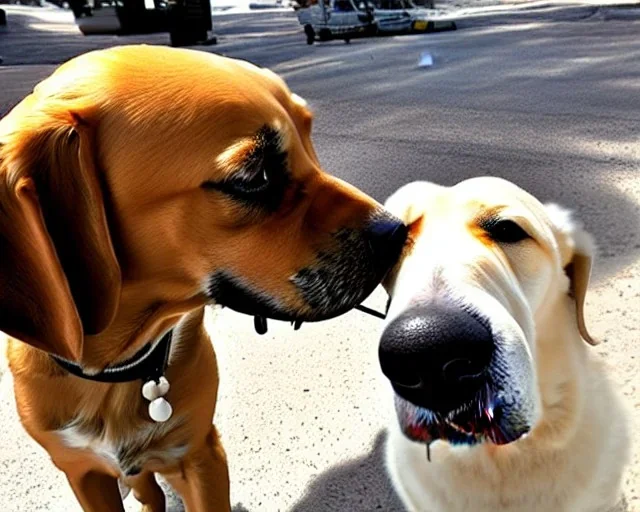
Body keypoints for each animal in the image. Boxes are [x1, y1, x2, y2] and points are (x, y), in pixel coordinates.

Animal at [0, 46, 408, 510]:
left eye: (308, 138)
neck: (121, 367)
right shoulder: (83, 473)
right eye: (255, 176)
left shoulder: (201, 455)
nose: (398, 232)